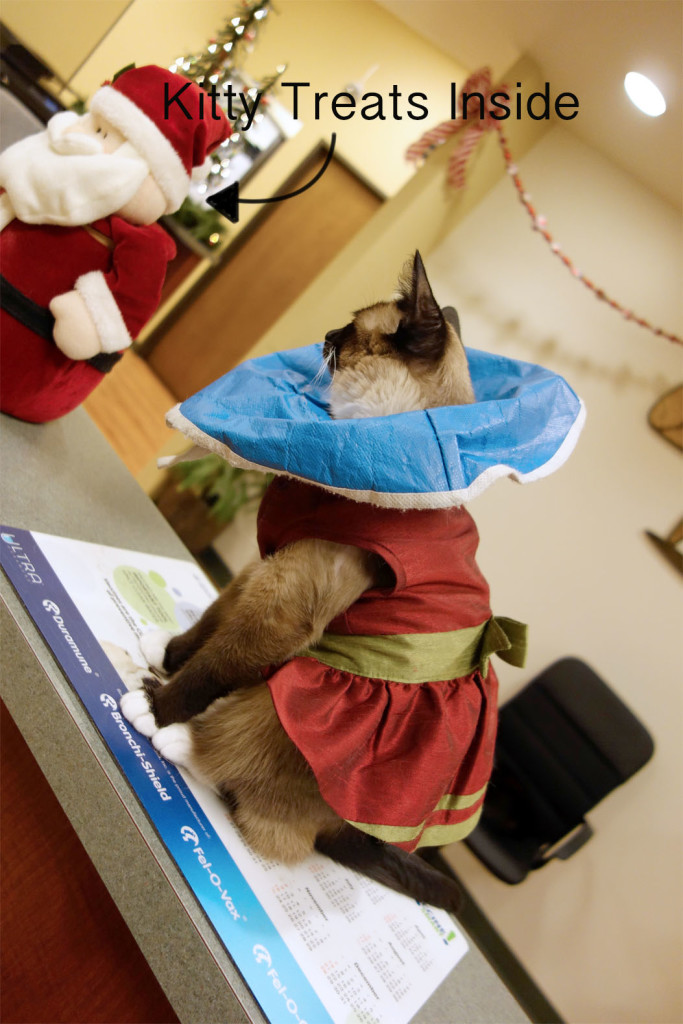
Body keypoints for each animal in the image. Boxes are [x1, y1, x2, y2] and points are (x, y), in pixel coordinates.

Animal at [121, 253, 475, 913]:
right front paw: (165, 654)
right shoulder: (264, 568)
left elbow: (211, 667)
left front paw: (158, 705)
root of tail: (344, 827)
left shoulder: (284, 604)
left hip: (293, 685)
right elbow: (208, 627)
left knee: (261, 809)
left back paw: (178, 740)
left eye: (350, 329)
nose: (326, 336)